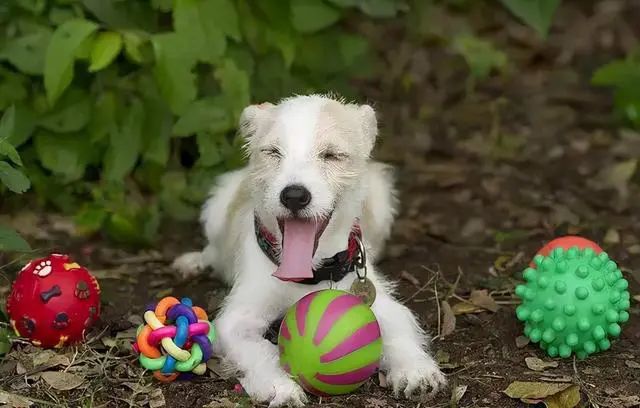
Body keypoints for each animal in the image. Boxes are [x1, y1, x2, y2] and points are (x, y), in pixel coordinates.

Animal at [174, 95, 444, 404]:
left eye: (331, 155)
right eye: (273, 152)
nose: (294, 195)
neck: (309, 273)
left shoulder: (382, 304)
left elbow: (400, 331)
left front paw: (416, 370)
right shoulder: (236, 321)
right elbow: (258, 351)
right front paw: (278, 386)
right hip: (219, 205)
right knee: (214, 250)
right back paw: (193, 261)